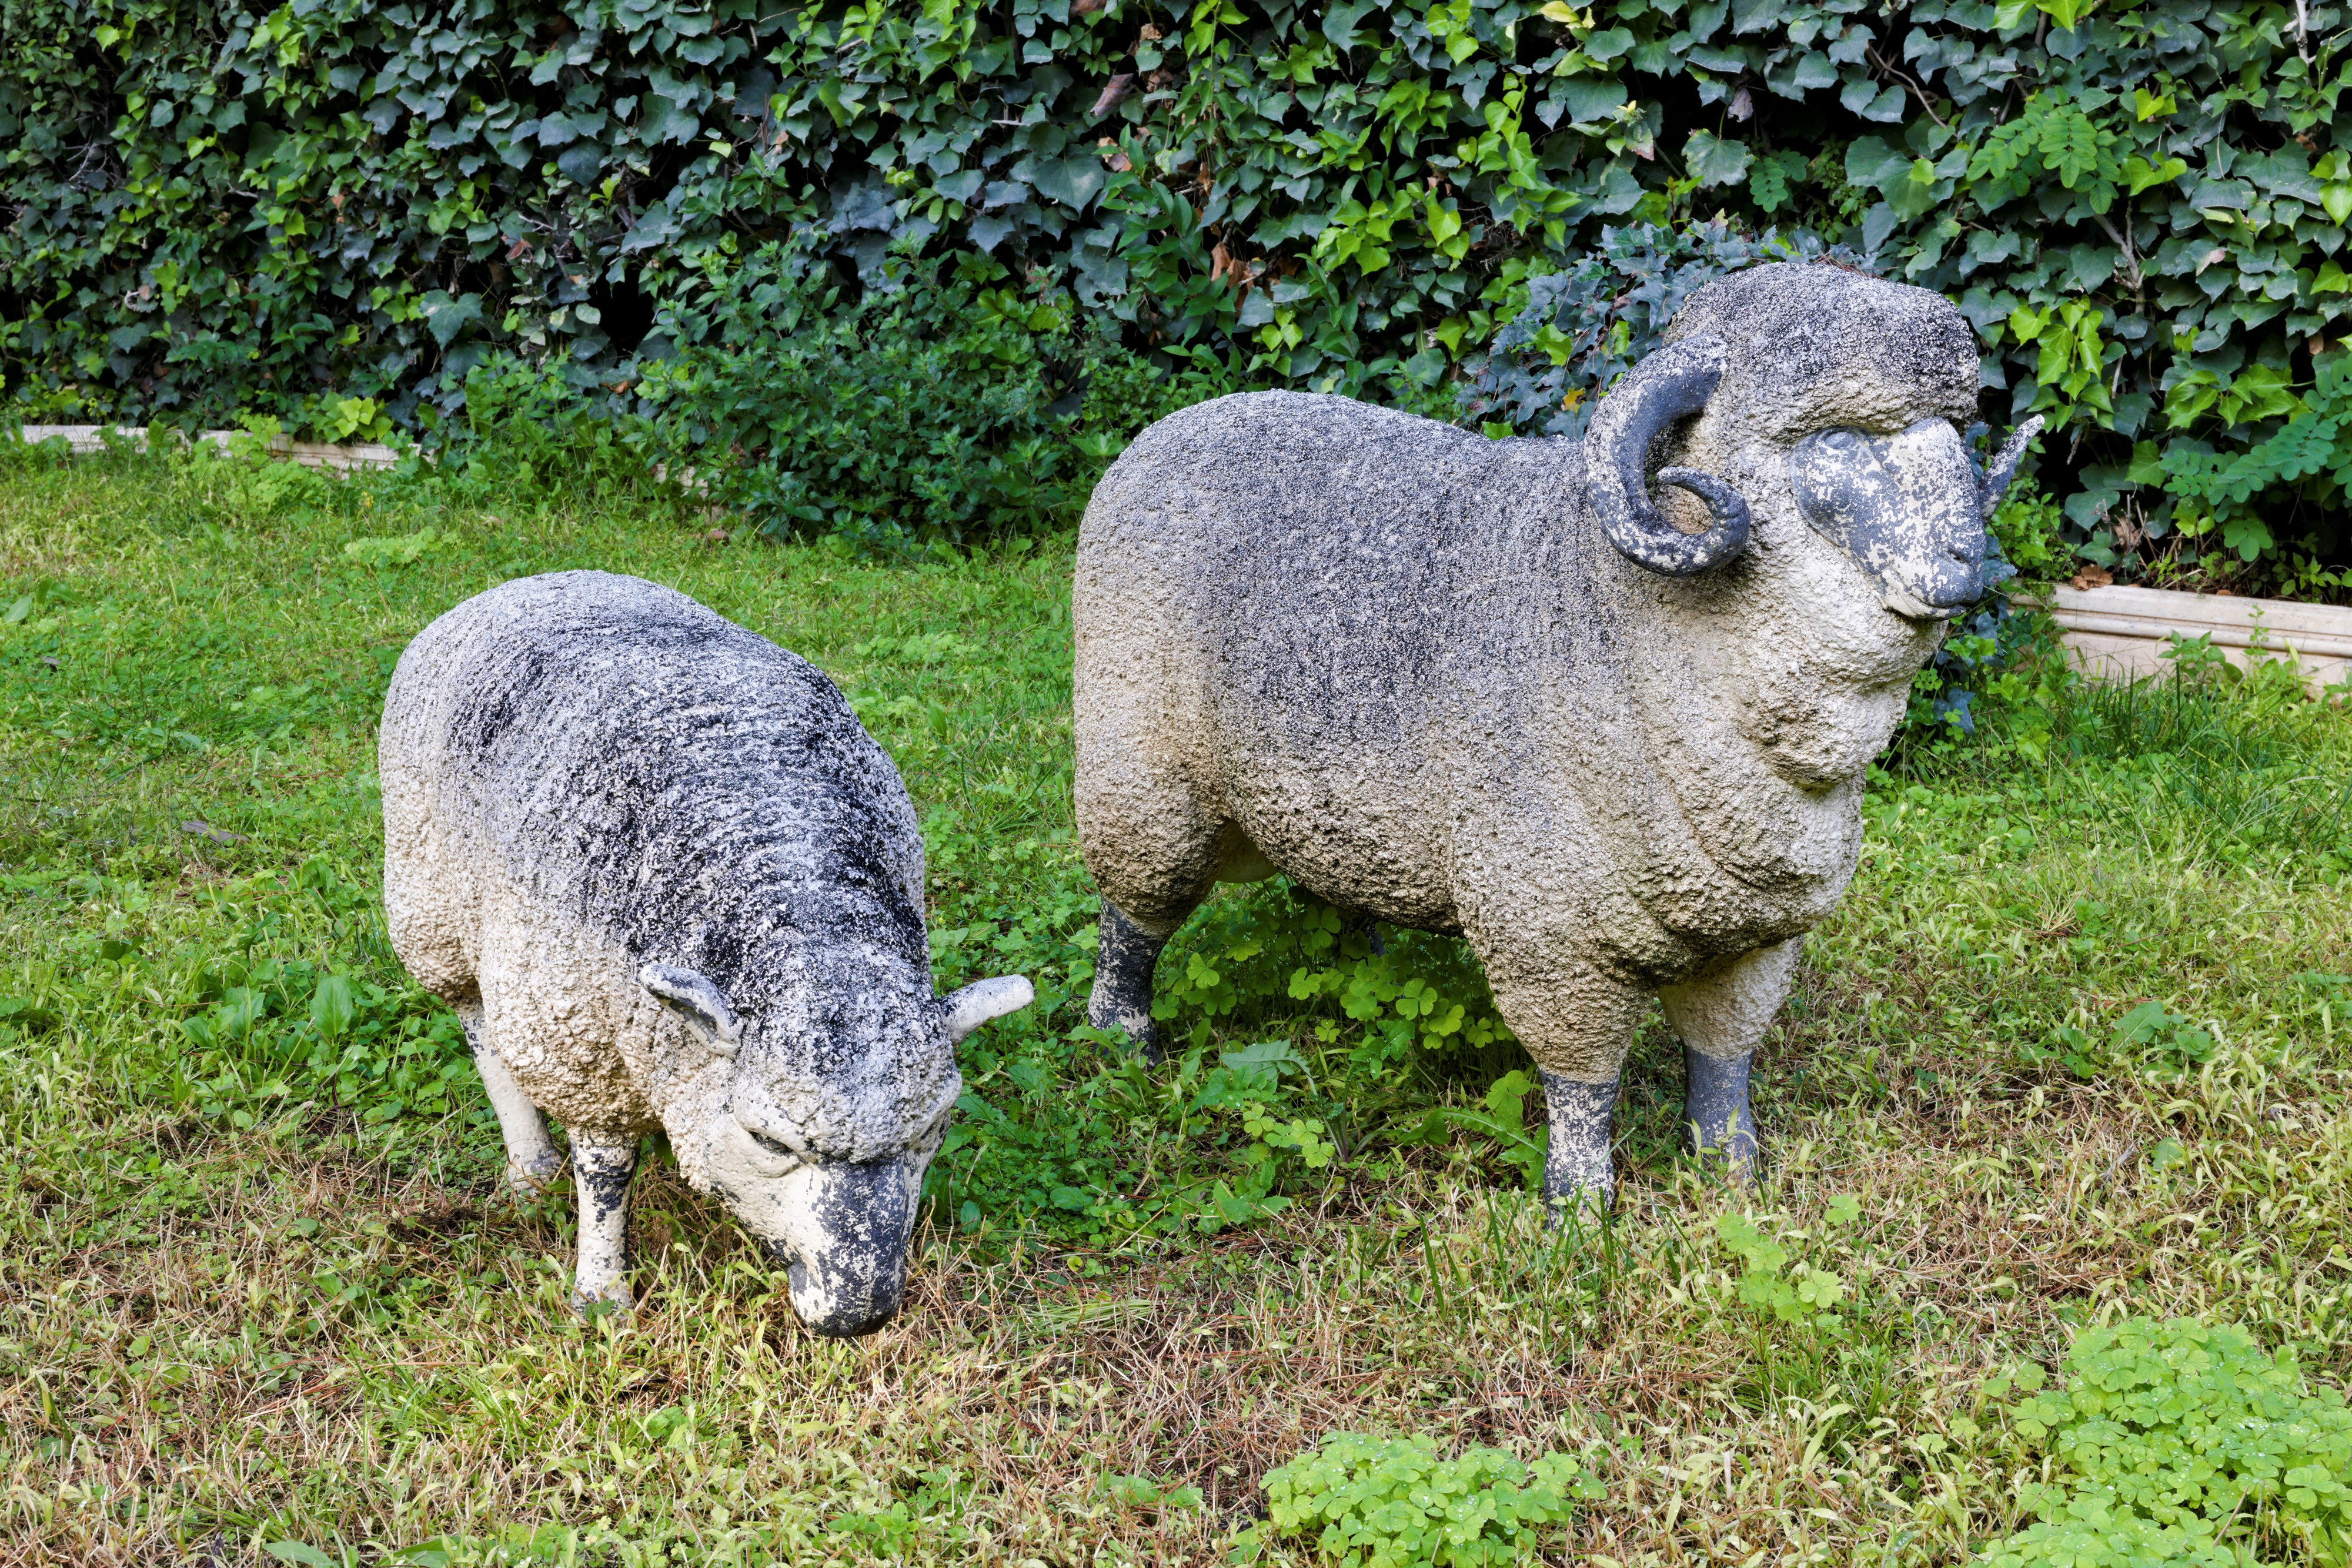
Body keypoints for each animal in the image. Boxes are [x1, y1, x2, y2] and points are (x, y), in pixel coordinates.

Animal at [380, 571, 1032, 1334]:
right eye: (769, 1142)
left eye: (931, 1127)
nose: (858, 1315)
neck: (791, 884)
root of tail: (535, 581)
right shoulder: (580, 1044)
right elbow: (605, 1170)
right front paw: (600, 1296)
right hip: (430, 906)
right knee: (477, 1022)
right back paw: (530, 1165)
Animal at [1072, 263, 2038, 1206]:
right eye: (1837, 440)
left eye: (1954, 435)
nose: (1969, 561)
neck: (1621, 608)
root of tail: (1178, 425)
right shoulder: (1552, 936)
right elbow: (1583, 1087)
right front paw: (1580, 1208)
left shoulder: (1758, 936)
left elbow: (1723, 1061)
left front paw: (1732, 1176)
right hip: (1140, 778)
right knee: (1133, 919)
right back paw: (1125, 1047)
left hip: (1326, 798)